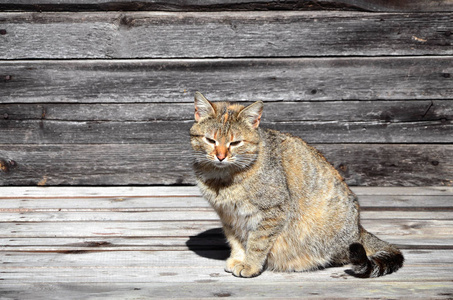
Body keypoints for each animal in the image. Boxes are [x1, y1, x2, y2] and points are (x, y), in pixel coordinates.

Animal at [189, 92, 404, 278]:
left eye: (235, 143)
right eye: (210, 140)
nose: (221, 156)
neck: (221, 179)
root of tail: (358, 228)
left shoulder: (273, 212)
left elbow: (258, 242)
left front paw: (250, 264)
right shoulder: (229, 216)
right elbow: (236, 241)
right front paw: (238, 258)